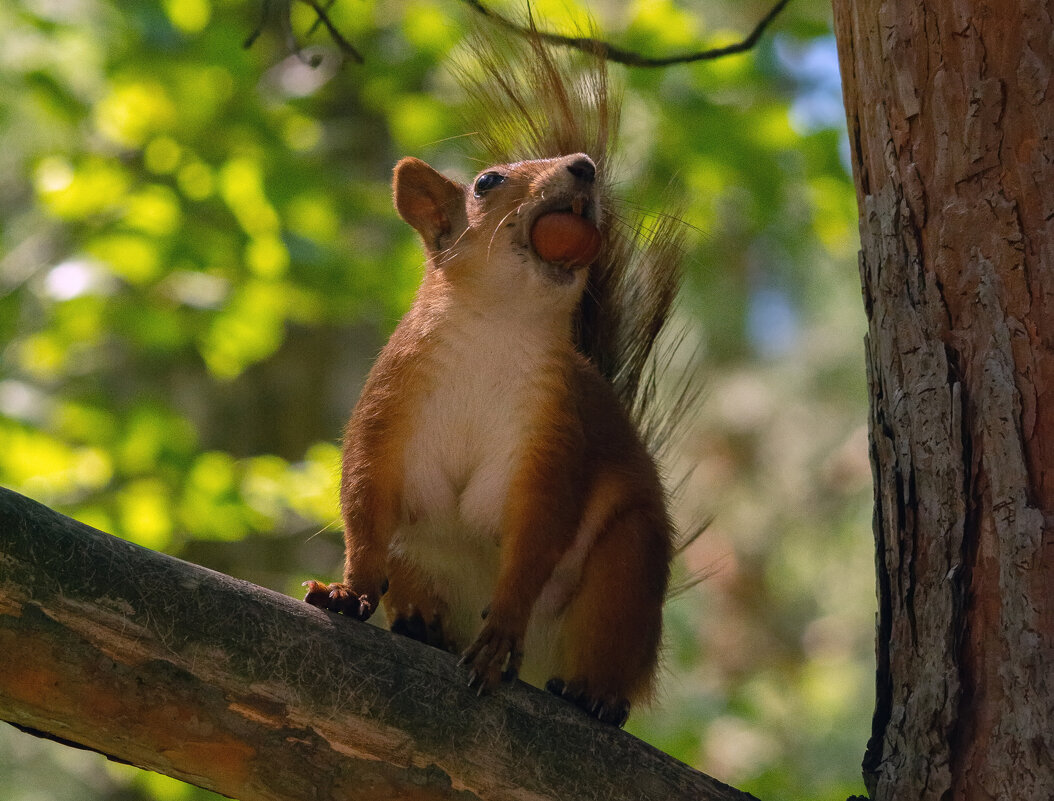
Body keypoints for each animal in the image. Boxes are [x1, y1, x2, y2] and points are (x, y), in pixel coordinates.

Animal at [305, 26, 687, 725]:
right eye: (486, 181)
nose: (585, 167)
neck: (498, 327)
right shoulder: (386, 404)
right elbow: (365, 500)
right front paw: (348, 591)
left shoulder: (555, 436)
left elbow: (537, 536)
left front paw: (500, 631)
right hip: (421, 561)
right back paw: (425, 625)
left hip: (626, 567)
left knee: (606, 643)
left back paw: (592, 693)